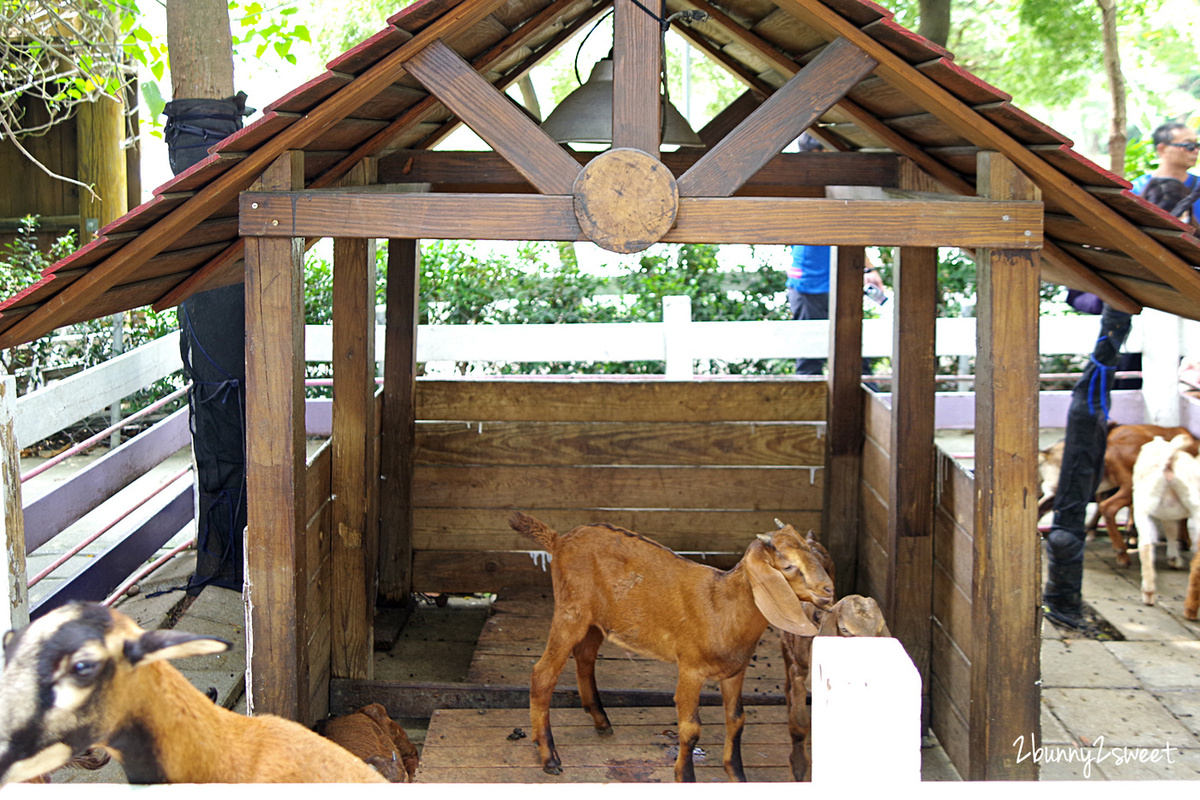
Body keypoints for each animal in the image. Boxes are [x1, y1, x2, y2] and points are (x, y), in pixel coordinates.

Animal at [508, 513, 835, 782]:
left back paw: (601, 721)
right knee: (543, 674)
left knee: (585, 657)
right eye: (789, 565)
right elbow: (690, 729)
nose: (828, 590)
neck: (722, 606)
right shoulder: (690, 669)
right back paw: (549, 757)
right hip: (570, 612)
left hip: (594, 620)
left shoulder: (734, 672)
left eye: (816, 557)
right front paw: (684, 776)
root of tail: (559, 541)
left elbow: (737, 720)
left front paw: (737, 776)